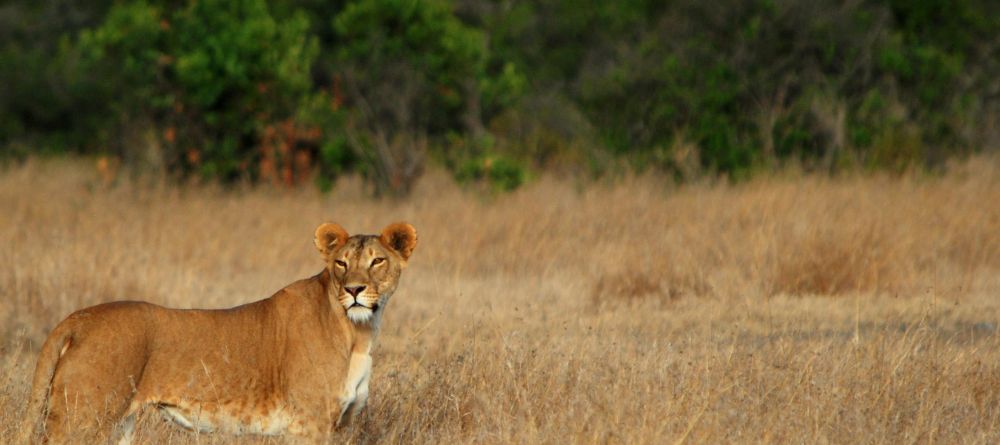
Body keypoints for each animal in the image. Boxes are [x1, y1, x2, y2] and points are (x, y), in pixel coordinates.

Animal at [17, 222, 417, 444]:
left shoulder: (338, 426)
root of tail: (77, 319)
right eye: (341, 263)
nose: (353, 290)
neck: (359, 333)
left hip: (118, 425)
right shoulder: (309, 424)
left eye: (377, 261)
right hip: (82, 420)